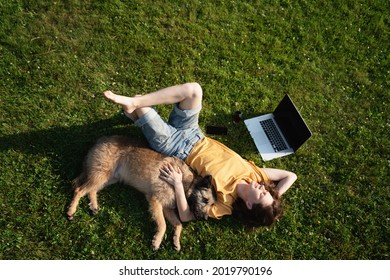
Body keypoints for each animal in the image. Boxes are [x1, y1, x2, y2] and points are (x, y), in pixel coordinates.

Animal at [66, 135, 213, 250]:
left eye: (211, 205)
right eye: (205, 200)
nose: (205, 219)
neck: (186, 182)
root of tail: (99, 140)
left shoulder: (167, 208)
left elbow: (178, 224)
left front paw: (176, 240)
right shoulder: (155, 201)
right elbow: (163, 224)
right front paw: (157, 241)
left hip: (108, 177)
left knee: (91, 190)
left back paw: (93, 206)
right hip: (101, 174)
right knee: (79, 189)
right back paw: (71, 210)